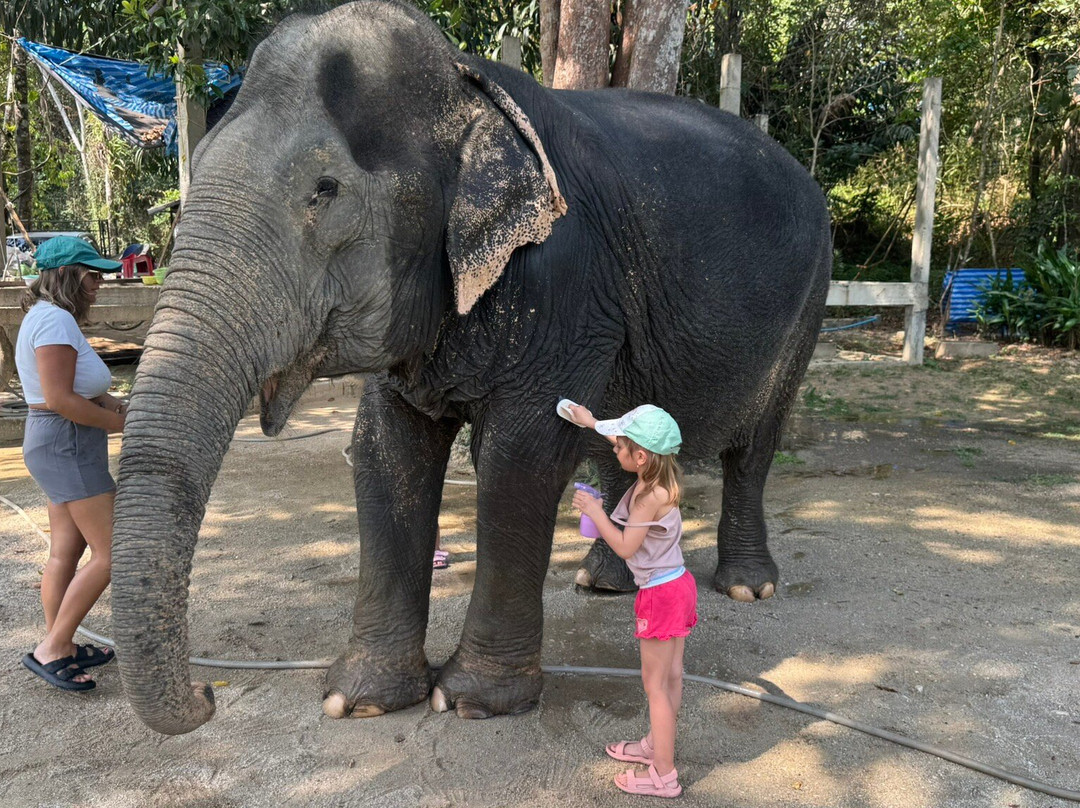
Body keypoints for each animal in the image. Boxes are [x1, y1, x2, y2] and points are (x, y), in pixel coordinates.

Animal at [111, 0, 831, 734]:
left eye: (325, 189)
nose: (206, 694)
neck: (467, 82)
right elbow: (385, 449)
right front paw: (361, 699)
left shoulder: (566, 281)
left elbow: (520, 457)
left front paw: (470, 701)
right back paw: (604, 582)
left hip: (809, 301)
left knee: (756, 444)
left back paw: (747, 587)